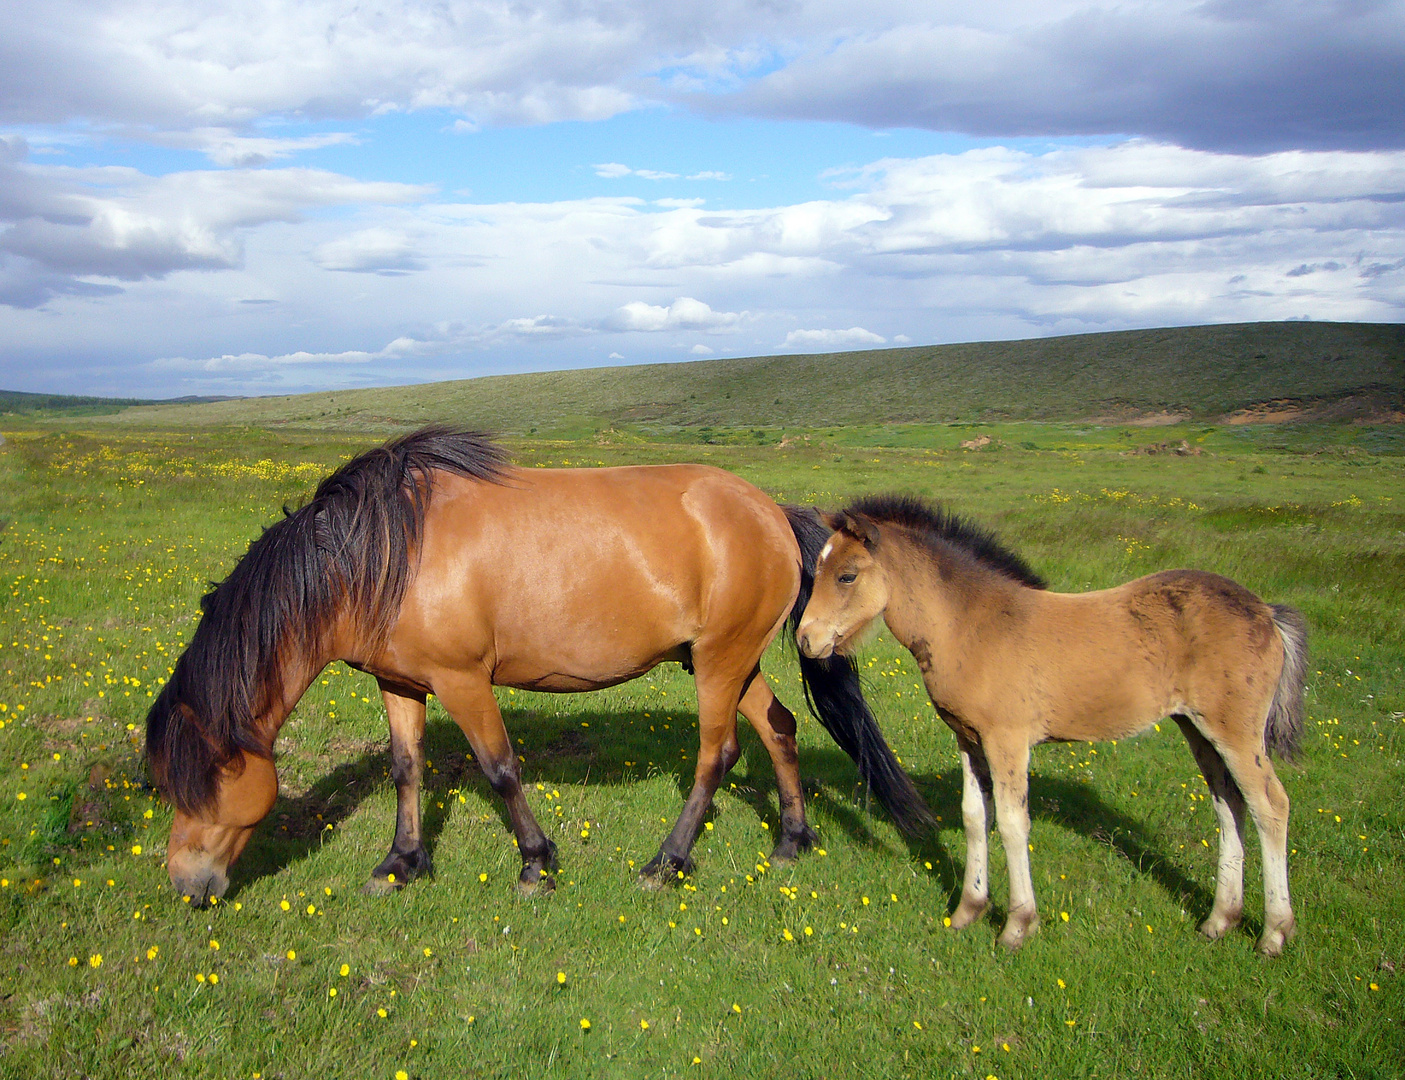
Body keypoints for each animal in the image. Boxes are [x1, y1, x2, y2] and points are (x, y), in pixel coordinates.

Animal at [145, 426, 932, 904]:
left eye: (197, 782)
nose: (184, 882)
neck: (381, 556)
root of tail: (770, 511)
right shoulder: (401, 684)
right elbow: (407, 769)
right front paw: (401, 863)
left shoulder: (464, 681)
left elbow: (499, 769)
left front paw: (535, 863)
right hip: (727, 662)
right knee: (779, 728)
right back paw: (793, 840)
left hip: (718, 663)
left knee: (719, 753)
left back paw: (666, 862)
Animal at [798, 494, 1309, 955]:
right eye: (816, 571)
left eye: (847, 575)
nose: (806, 639)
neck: (970, 624)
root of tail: (1267, 612)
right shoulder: (968, 738)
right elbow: (973, 816)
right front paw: (968, 910)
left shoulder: (1007, 740)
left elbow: (1011, 822)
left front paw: (1017, 925)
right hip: (1197, 729)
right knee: (1229, 806)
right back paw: (1220, 920)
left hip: (1235, 733)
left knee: (1270, 806)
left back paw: (1274, 933)